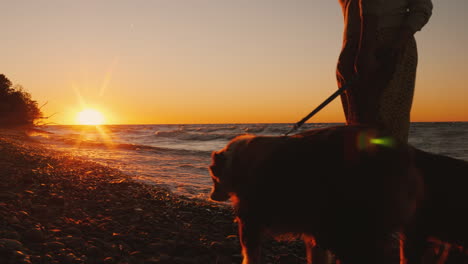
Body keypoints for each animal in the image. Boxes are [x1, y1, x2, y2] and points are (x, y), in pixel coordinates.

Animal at [210, 125, 422, 264]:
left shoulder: (250, 220)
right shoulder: (312, 228)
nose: (211, 196)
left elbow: (250, 253)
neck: (235, 161)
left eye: (212, 175)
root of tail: (406, 153)